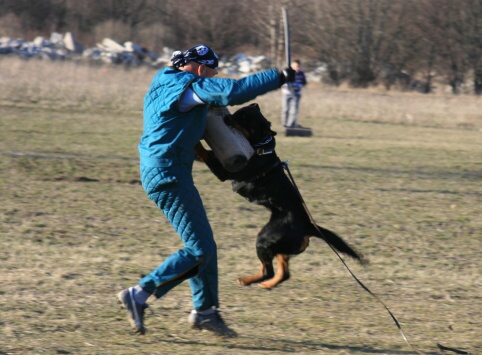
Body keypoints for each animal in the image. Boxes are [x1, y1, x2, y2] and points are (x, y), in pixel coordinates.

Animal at [194, 103, 364, 290]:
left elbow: (203, 152)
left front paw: (196, 141)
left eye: (243, 119)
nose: (226, 118)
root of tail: (308, 226)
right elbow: (203, 154)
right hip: (279, 247)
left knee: (268, 271)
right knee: (283, 273)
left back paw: (248, 280)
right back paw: (267, 285)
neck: (261, 148)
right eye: (239, 111)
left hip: (264, 238)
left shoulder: (224, 171)